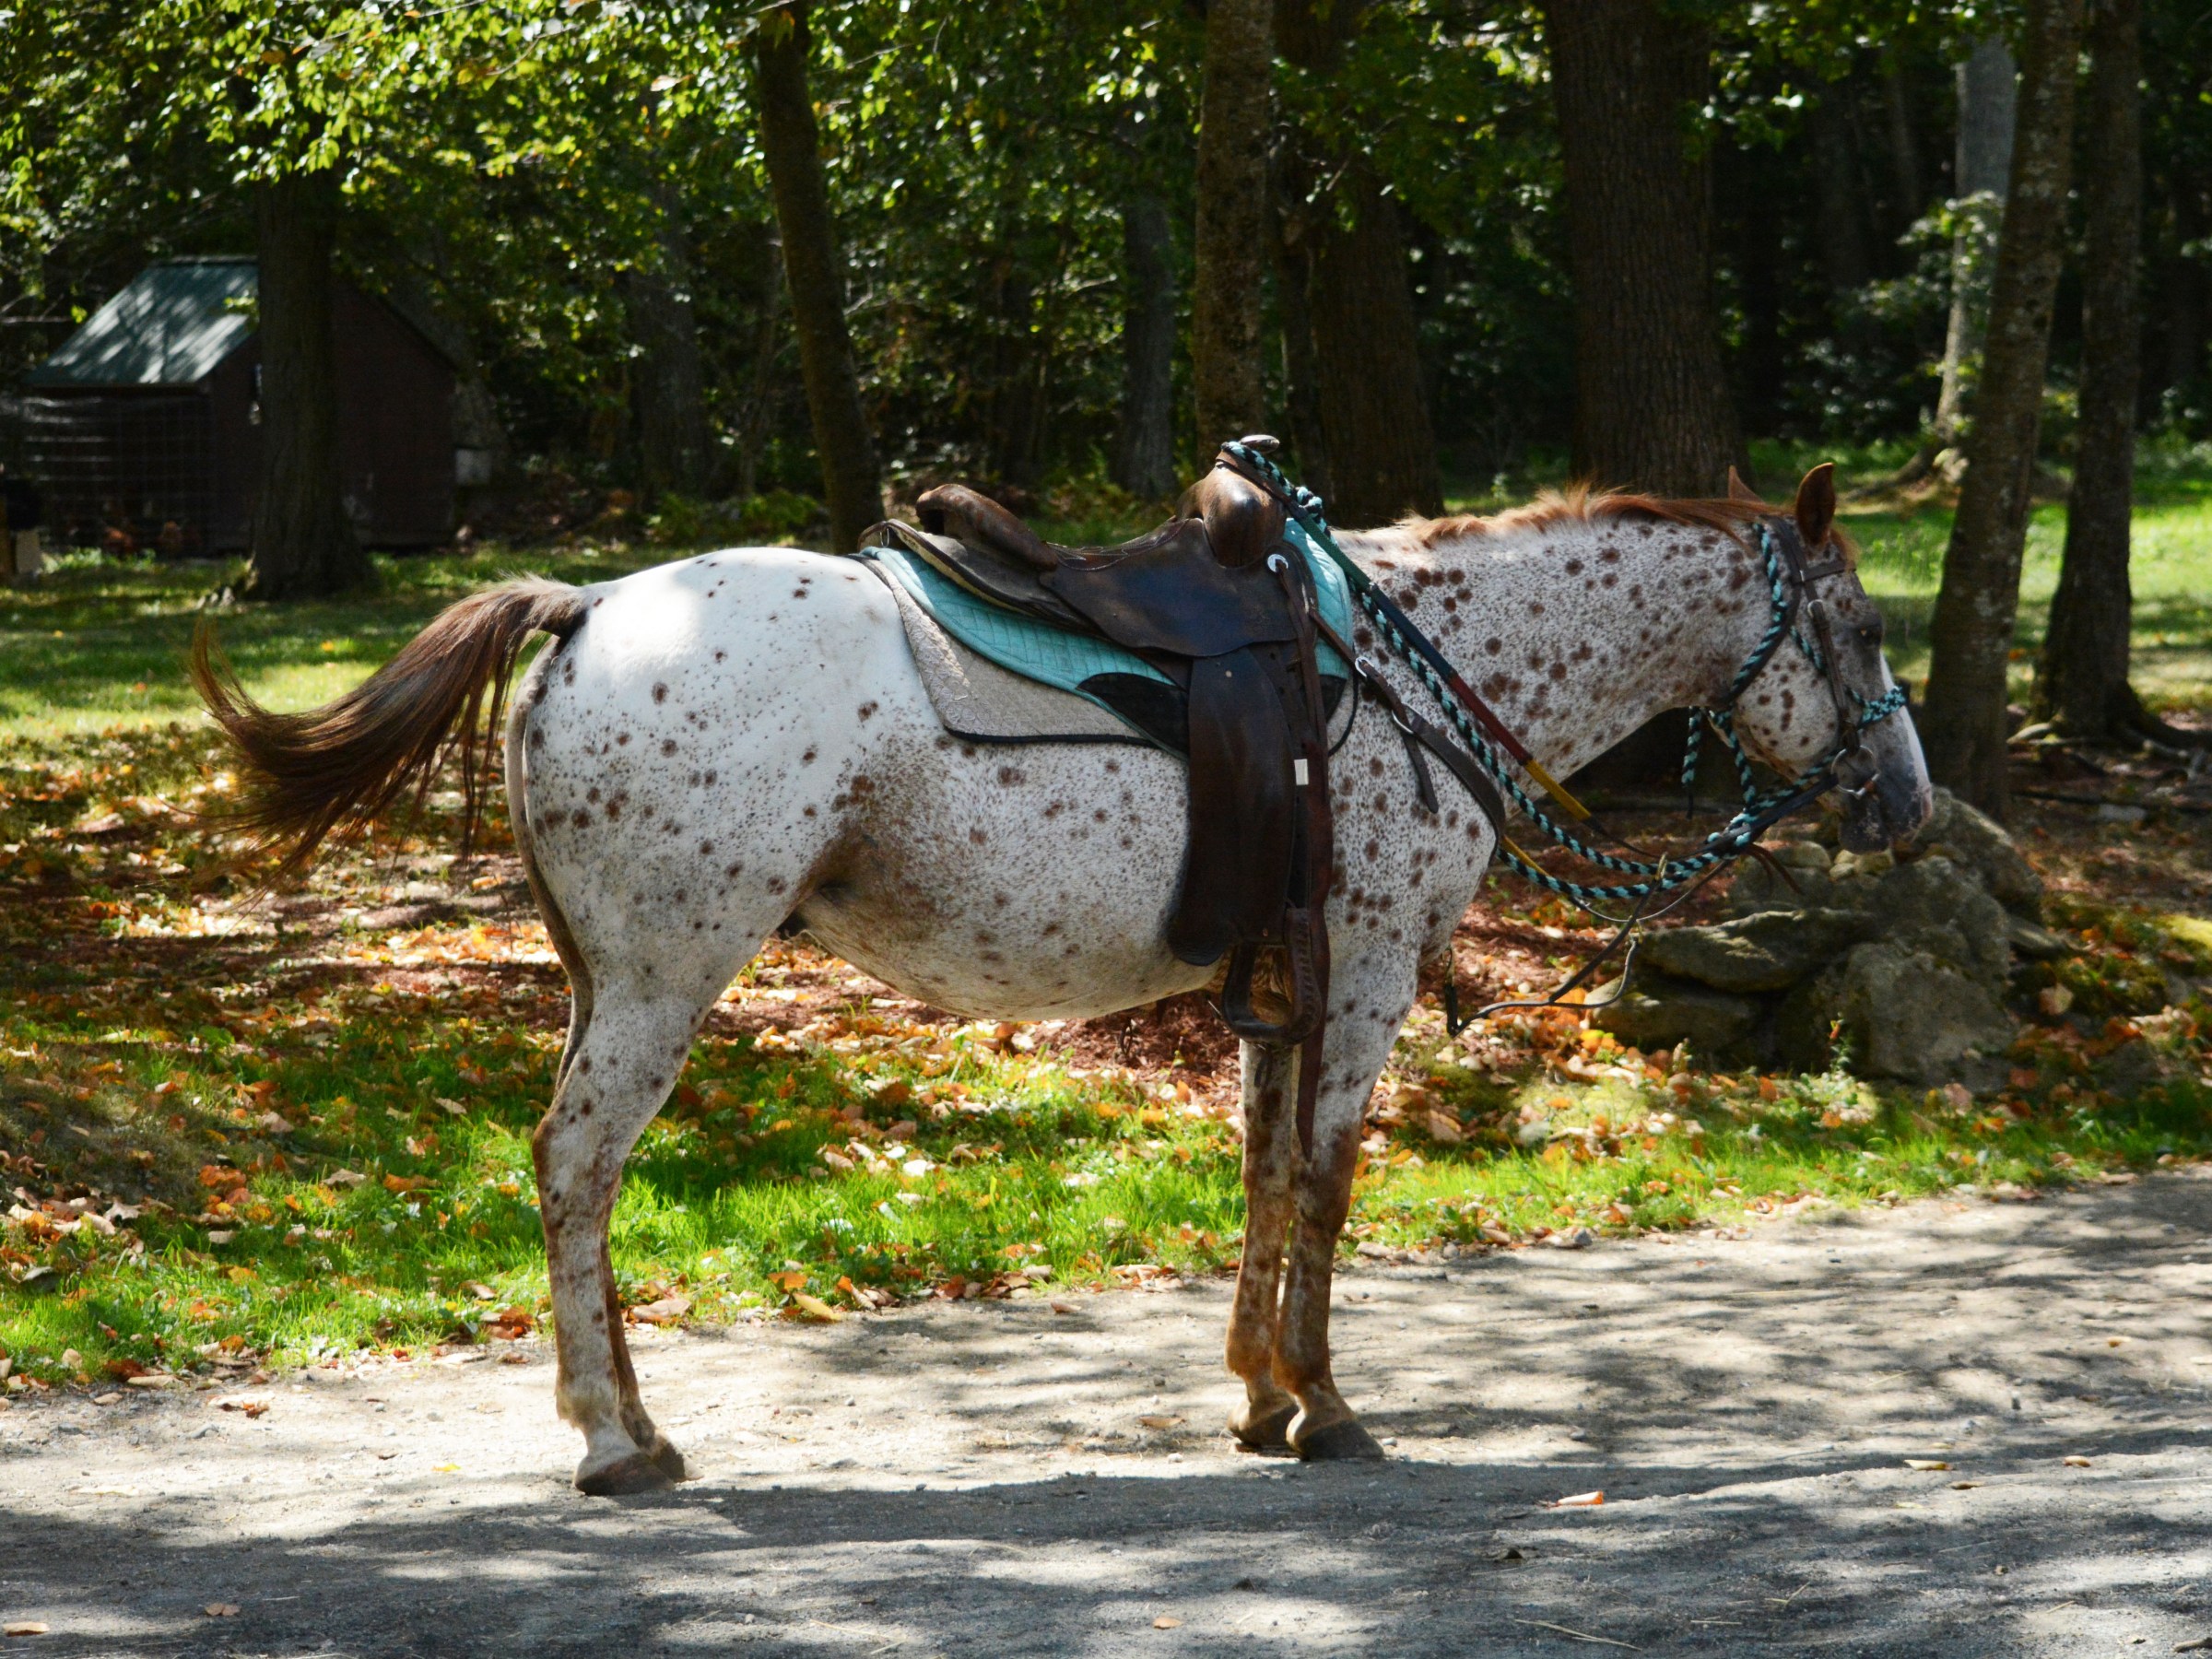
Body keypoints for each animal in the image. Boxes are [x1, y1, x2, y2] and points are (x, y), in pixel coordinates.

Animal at [193, 464, 1931, 1494]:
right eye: (1857, 630)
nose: (1910, 806)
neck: (1416, 666)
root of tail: (590, 604)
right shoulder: (1368, 971)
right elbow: (1329, 1182)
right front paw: (1328, 1405)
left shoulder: (1284, 989)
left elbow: (1263, 1176)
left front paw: (1256, 1396)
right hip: (663, 979)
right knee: (577, 1167)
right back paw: (612, 1440)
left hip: (601, 977)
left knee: (583, 1173)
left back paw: (634, 1425)